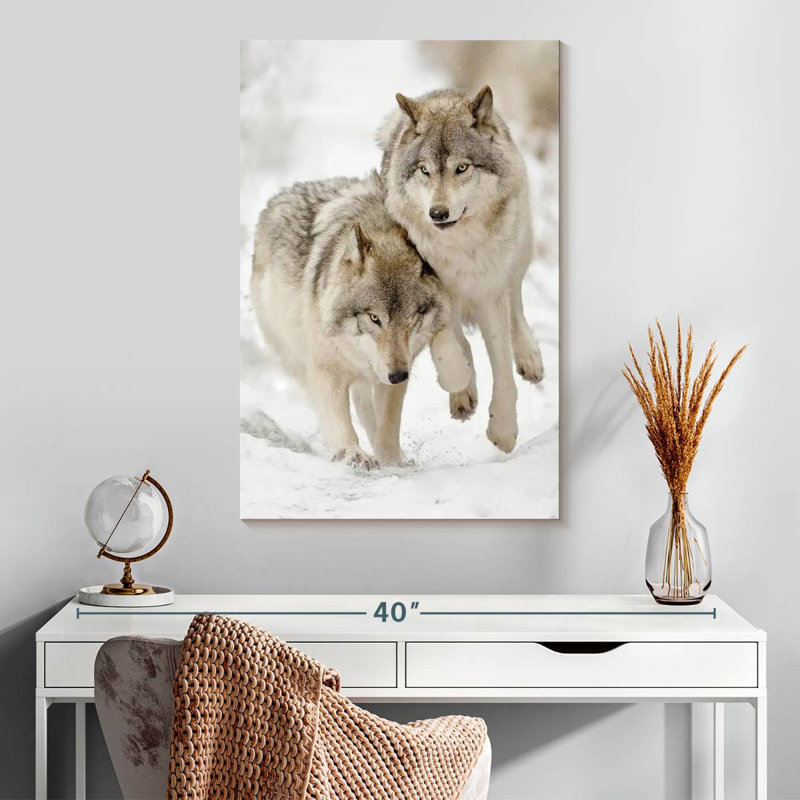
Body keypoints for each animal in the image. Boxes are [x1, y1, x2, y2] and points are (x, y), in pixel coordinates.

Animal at [250, 172, 469, 469]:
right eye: (374, 318)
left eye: (412, 317)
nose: (398, 375)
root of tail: (277, 198)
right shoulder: (326, 370)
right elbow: (340, 421)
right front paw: (351, 454)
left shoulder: (395, 370)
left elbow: (387, 425)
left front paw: (391, 461)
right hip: (298, 360)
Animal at [378, 86, 544, 453]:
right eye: (425, 170)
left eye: (462, 167)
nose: (437, 213)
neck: (460, 249)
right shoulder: (434, 288)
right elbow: (450, 347)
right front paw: (459, 382)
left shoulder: (489, 292)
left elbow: (502, 367)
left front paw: (503, 430)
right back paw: (464, 393)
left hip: (519, 253)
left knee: (517, 304)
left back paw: (529, 358)